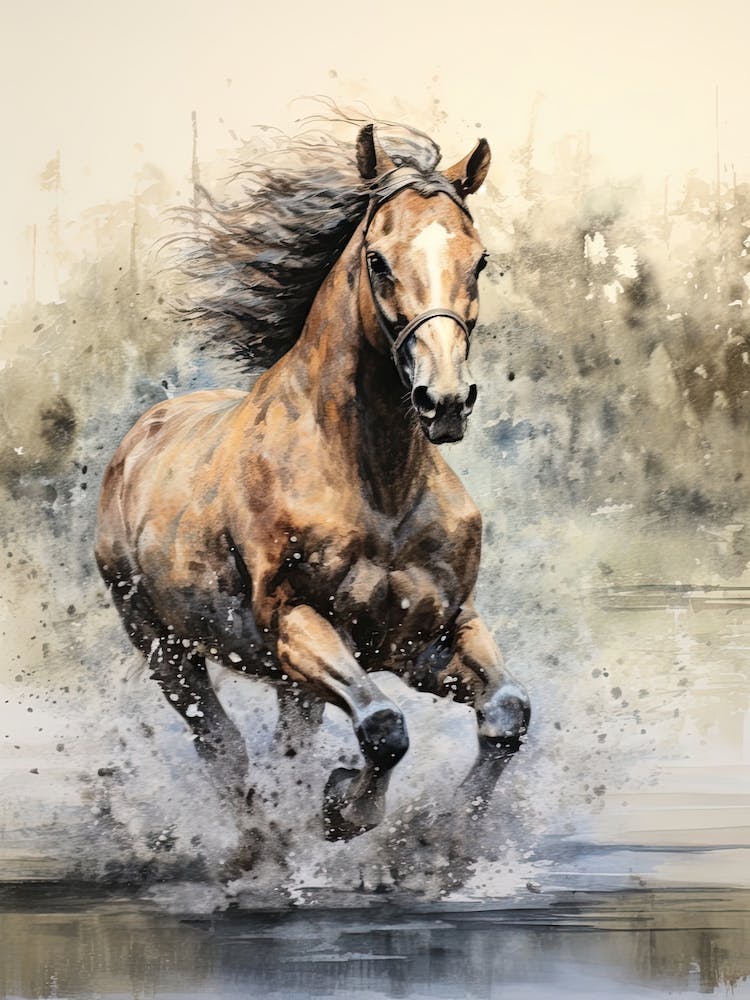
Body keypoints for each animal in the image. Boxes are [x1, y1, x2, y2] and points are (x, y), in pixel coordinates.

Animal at [95, 121, 531, 843]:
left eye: (480, 260)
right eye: (378, 261)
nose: (444, 400)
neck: (380, 490)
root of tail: (136, 442)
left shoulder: (431, 635)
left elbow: (507, 714)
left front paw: (445, 837)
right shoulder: (296, 624)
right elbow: (383, 727)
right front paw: (343, 809)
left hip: (283, 680)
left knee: (283, 746)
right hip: (165, 648)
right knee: (223, 749)